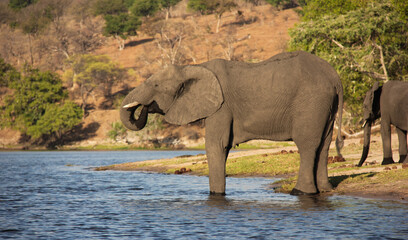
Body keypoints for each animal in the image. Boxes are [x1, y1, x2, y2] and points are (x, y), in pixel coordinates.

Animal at [122, 50, 344, 195]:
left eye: (155, 85)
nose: (145, 106)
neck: (193, 68)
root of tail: (334, 76)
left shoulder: (221, 107)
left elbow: (216, 145)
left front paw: (216, 196)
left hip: (311, 102)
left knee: (307, 144)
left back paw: (301, 192)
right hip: (325, 104)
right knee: (324, 143)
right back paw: (325, 189)